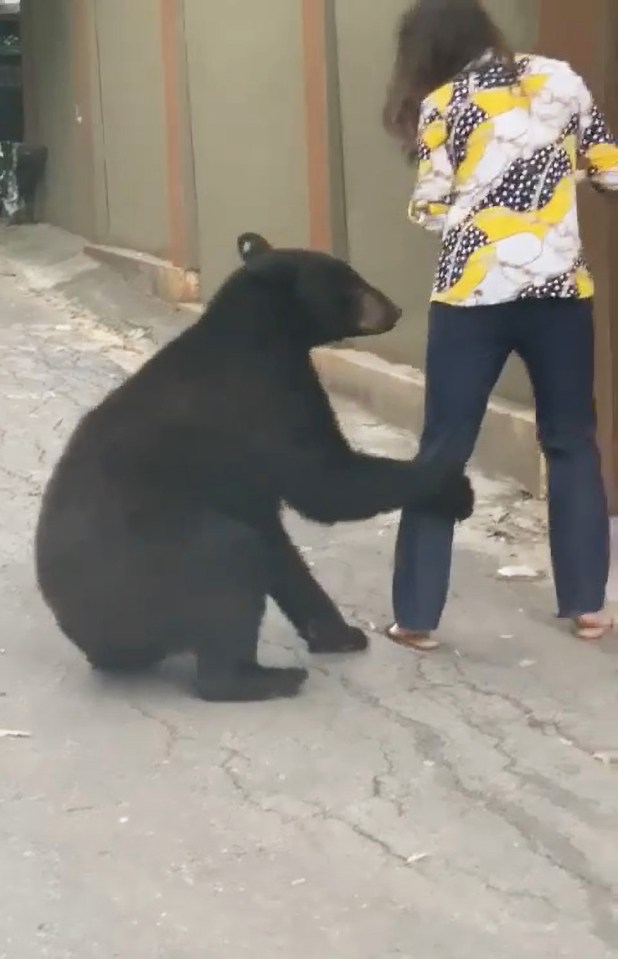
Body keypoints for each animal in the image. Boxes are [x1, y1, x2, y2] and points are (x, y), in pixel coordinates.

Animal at [35, 232, 472, 696]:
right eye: (351, 283)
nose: (396, 309)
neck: (264, 330)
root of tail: (93, 643)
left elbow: (282, 544)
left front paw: (340, 634)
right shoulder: (267, 396)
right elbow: (326, 482)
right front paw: (452, 487)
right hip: (154, 566)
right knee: (229, 559)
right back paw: (260, 677)